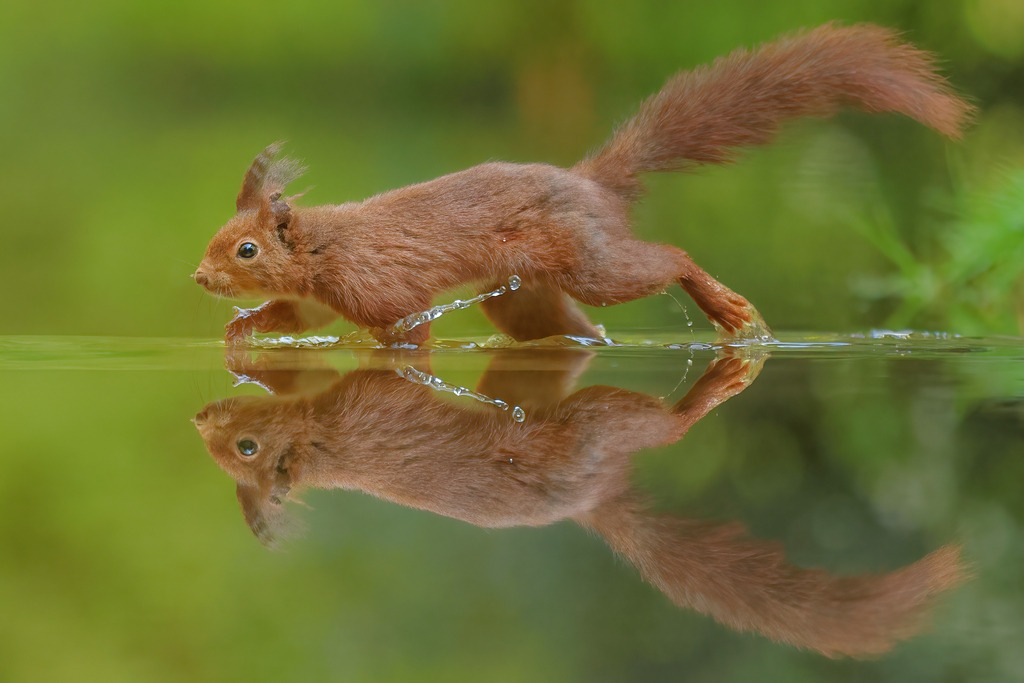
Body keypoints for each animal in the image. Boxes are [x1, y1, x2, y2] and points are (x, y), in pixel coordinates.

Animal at [192, 23, 973, 346]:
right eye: (220, 240)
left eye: (245, 250)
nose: (199, 279)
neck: (322, 247)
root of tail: (590, 182)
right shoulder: (315, 300)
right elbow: (291, 320)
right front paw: (241, 331)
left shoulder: (381, 285)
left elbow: (404, 328)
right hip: (524, 295)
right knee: (572, 328)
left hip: (590, 262)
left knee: (667, 260)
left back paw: (730, 310)